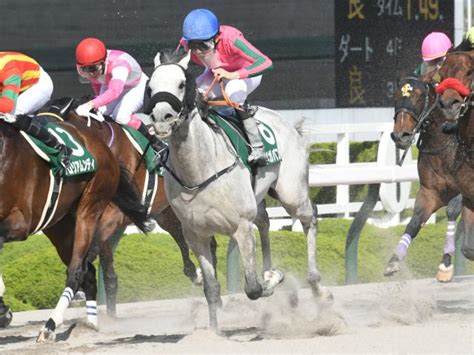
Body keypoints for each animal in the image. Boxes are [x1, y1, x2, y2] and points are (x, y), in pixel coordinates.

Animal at [0, 117, 150, 342]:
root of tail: (102, 145)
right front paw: (3, 310)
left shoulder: (21, 221)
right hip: (59, 226)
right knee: (88, 273)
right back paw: (91, 324)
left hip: (89, 207)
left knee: (77, 270)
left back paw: (50, 325)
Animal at [146, 51, 332, 332]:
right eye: (150, 87)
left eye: (181, 83)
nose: (162, 117)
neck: (199, 169)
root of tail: (287, 124)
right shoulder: (195, 235)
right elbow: (212, 289)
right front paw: (213, 333)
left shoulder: (241, 227)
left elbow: (253, 288)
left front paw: (274, 279)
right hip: (259, 197)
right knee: (265, 221)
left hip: (291, 193)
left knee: (310, 219)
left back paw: (317, 286)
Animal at [386, 76, 462, 282]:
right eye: (396, 96)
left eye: (420, 97)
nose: (401, 135)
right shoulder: (430, 192)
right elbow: (415, 220)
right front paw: (394, 261)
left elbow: (452, 211)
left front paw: (446, 263)